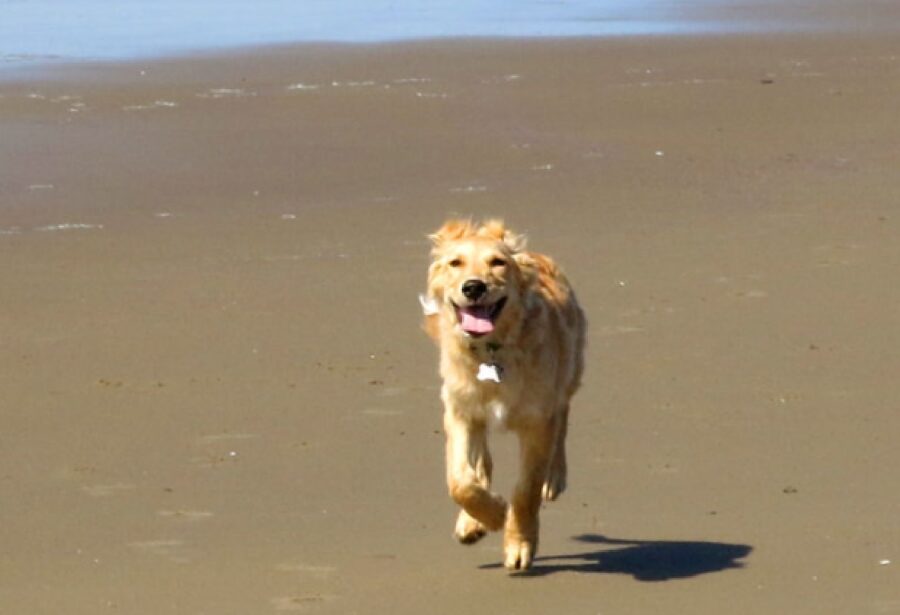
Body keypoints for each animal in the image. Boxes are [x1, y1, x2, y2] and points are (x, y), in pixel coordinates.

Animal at [424, 219, 592, 572]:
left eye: (498, 263)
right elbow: (460, 481)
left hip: (569, 372)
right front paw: (488, 516)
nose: (473, 288)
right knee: (481, 463)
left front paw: (518, 543)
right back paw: (471, 521)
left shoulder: (536, 420)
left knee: (563, 417)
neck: (491, 350)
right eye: (455, 263)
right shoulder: (461, 411)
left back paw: (554, 477)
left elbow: (526, 490)